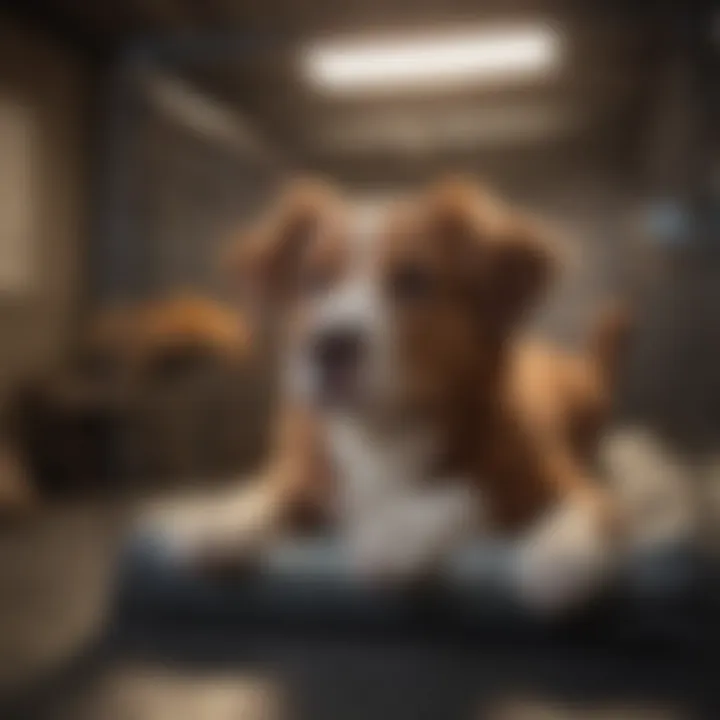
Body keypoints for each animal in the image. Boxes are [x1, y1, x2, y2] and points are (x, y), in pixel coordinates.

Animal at [190, 179, 632, 612]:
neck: (381, 432)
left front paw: (400, 536)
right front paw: (230, 517)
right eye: (314, 280)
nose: (329, 345)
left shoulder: (580, 491)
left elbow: (473, 492)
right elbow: (275, 488)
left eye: (414, 280)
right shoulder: (310, 472)